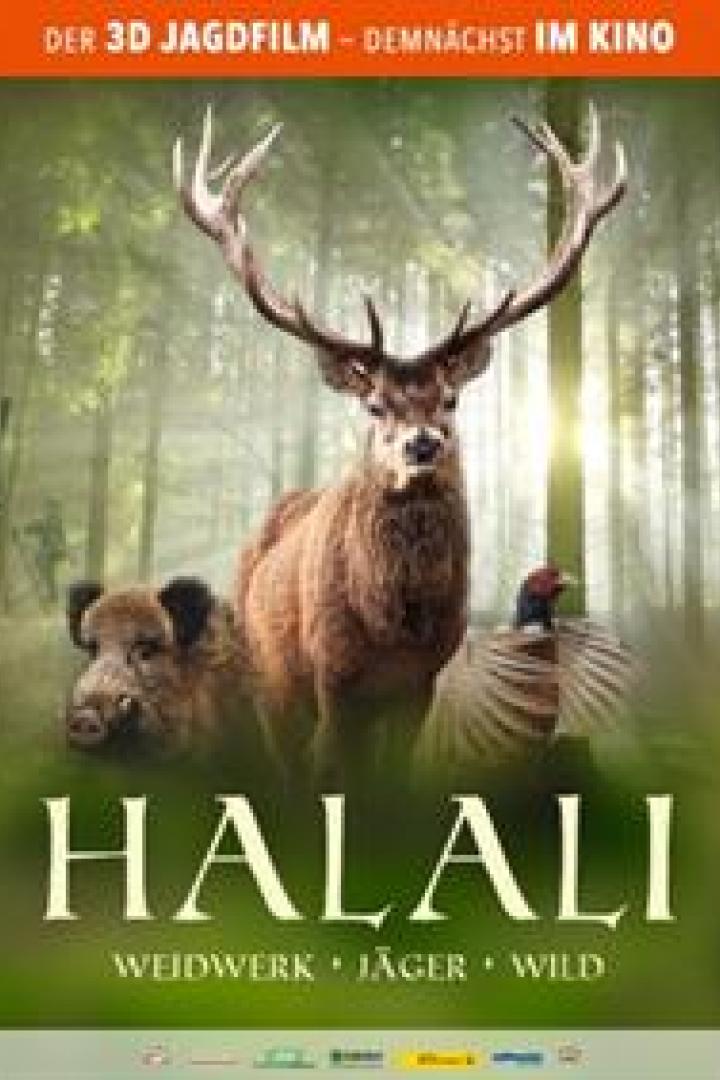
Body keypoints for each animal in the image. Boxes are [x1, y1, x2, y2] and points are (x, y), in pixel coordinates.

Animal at [173, 104, 627, 785]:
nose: (422, 445)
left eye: (451, 399)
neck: (395, 631)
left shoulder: (422, 684)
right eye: (375, 404)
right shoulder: (331, 678)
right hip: (269, 676)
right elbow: (330, 770)